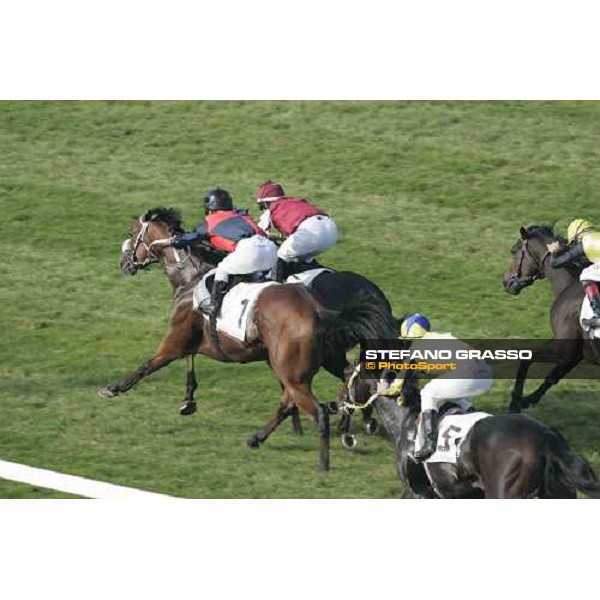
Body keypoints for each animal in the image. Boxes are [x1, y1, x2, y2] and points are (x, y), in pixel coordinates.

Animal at [99, 209, 398, 472]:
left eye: (132, 233)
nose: (124, 263)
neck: (192, 277)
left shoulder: (176, 338)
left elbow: (150, 364)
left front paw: (113, 388)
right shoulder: (197, 339)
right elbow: (189, 361)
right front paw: (188, 400)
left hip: (301, 363)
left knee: (335, 387)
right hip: (323, 357)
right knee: (352, 376)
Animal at [342, 368, 600, 500]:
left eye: (347, 375)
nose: (339, 402)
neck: (406, 418)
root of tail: (545, 436)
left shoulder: (418, 491)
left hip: (504, 493)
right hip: (559, 492)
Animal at [502, 225, 600, 412]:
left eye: (514, 250)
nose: (506, 283)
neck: (568, 285)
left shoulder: (562, 349)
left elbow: (527, 359)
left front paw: (516, 402)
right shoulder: (574, 354)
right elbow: (552, 377)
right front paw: (527, 400)